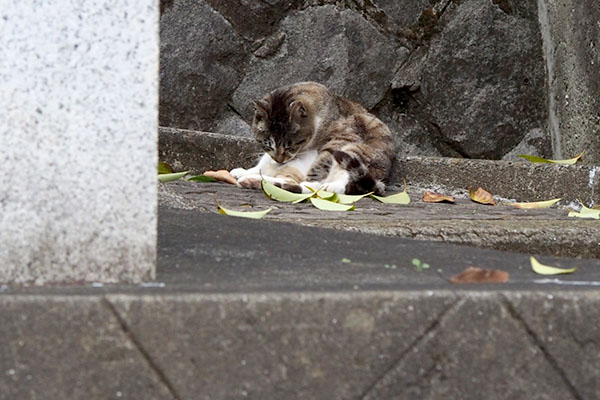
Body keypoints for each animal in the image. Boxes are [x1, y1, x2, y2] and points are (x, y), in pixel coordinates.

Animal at [232, 82, 396, 195]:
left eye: (290, 146)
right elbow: (259, 167)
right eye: (267, 144)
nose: (279, 160)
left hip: (354, 150)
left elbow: (320, 163)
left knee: (325, 185)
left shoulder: (343, 137)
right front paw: (244, 172)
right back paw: (252, 180)